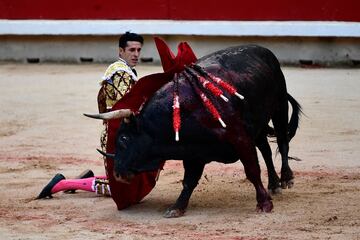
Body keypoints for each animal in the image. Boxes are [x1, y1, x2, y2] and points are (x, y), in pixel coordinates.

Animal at [87, 44, 300, 218]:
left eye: (123, 138)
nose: (117, 174)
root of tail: (264, 50)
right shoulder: (193, 152)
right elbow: (189, 181)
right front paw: (176, 208)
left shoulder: (241, 139)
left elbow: (252, 170)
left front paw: (264, 204)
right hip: (258, 123)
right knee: (265, 149)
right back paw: (274, 184)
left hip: (279, 106)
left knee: (282, 141)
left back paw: (286, 179)